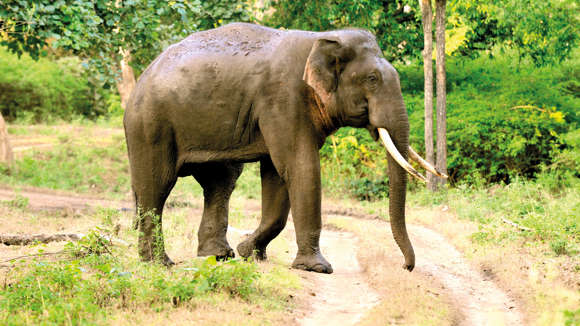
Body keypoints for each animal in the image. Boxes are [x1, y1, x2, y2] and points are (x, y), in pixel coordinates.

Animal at [124, 21, 446, 274]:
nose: (406, 267)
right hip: (149, 125)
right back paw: (160, 264)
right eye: (372, 79)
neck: (321, 38)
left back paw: (219, 256)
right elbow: (300, 166)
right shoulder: (283, 97)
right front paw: (317, 268)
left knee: (221, 182)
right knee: (157, 185)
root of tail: (142, 77)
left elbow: (277, 175)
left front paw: (250, 252)